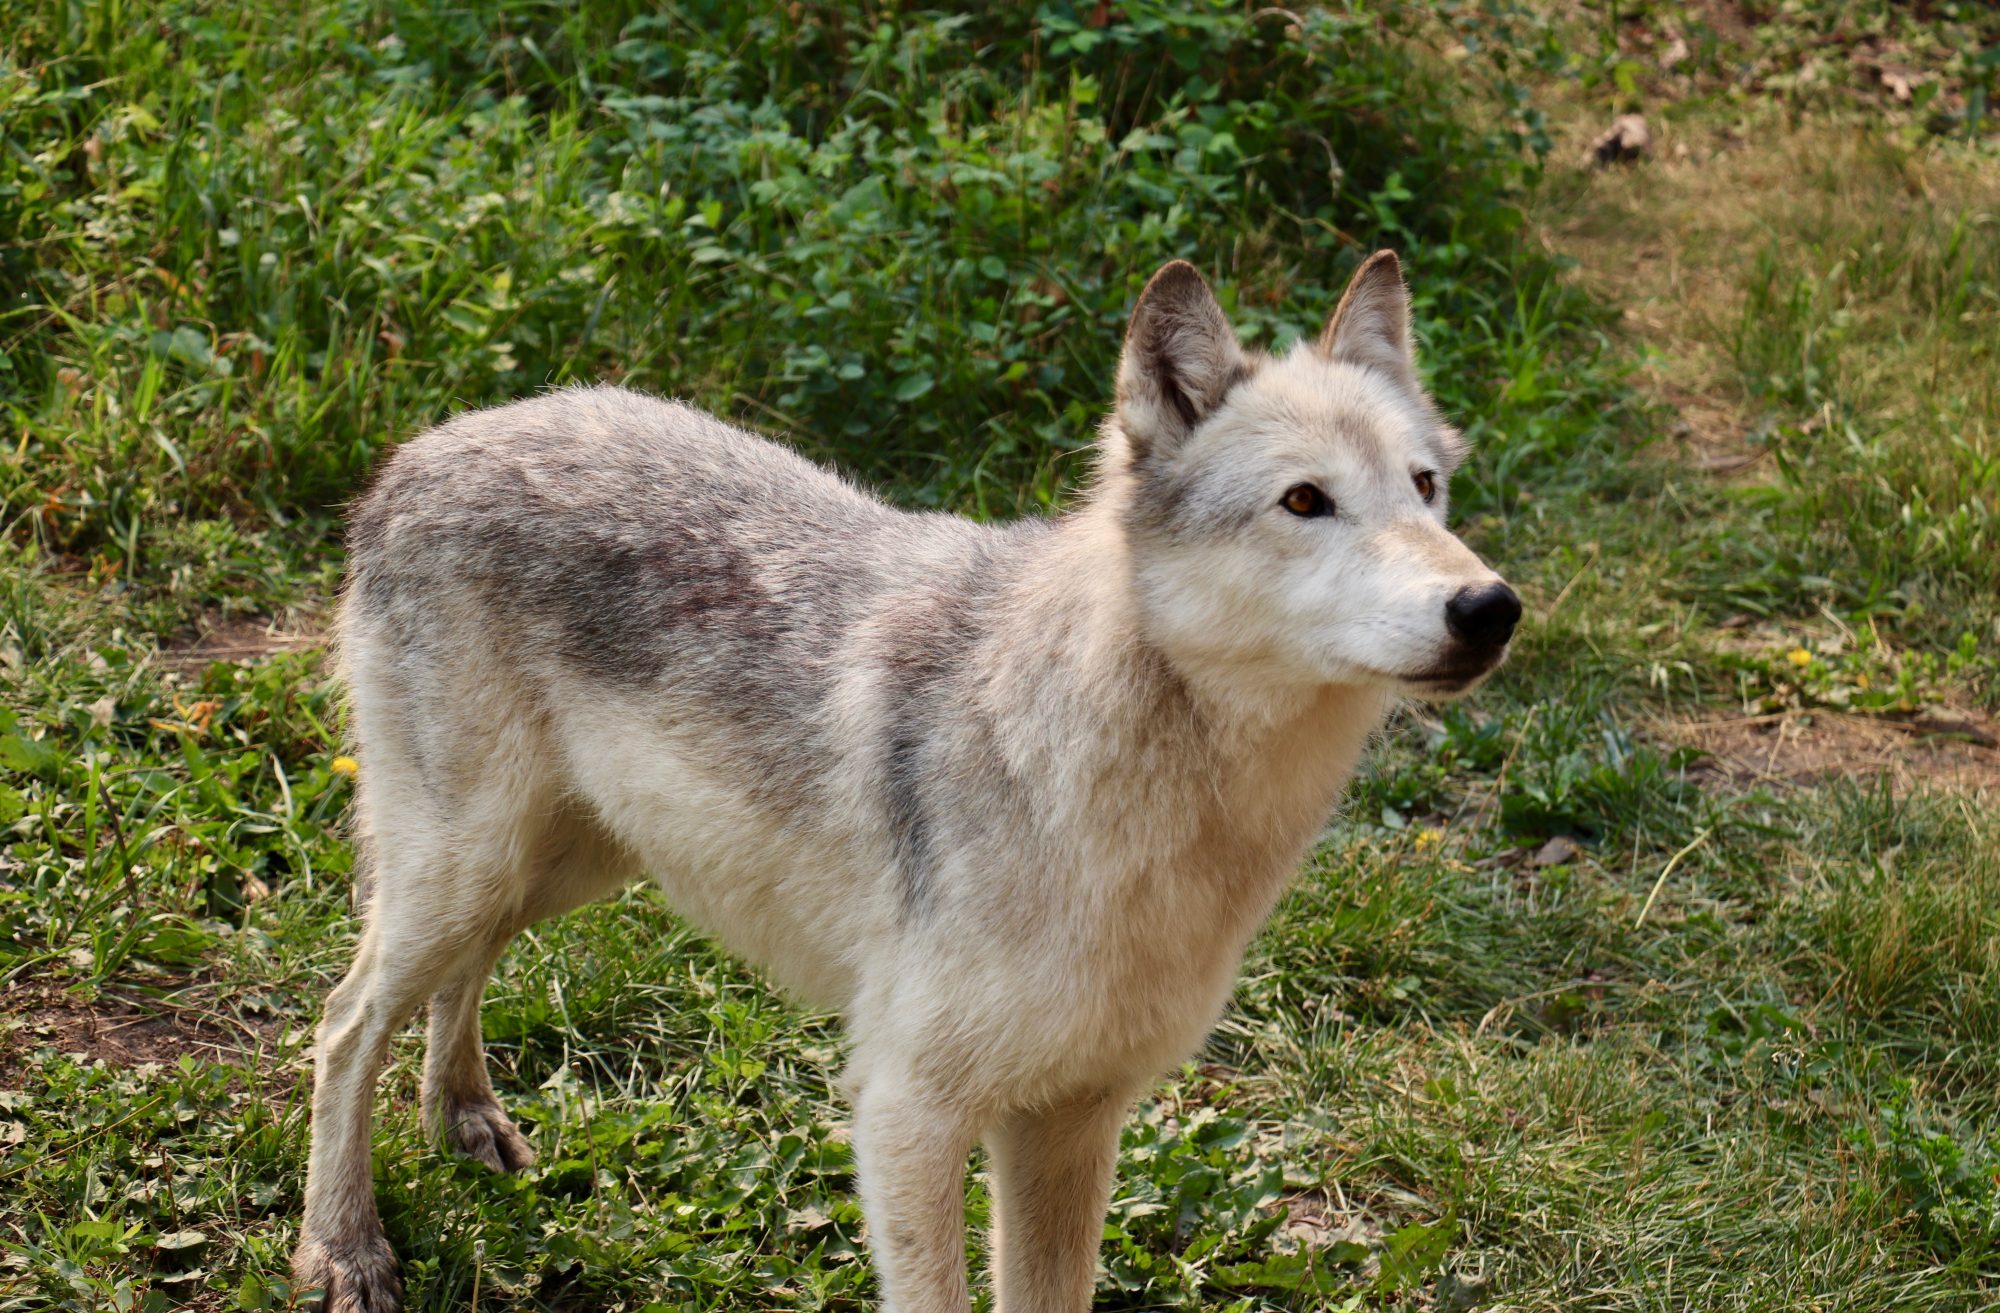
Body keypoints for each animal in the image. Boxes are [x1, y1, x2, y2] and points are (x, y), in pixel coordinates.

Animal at [292, 249, 1512, 1313]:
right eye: (1305, 501)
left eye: (1425, 488)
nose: (1489, 606)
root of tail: (423, 444)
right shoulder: (907, 1112)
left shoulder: (1070, 1120)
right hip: (476, 866)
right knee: (345, 1020)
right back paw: (343, 1246)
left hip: (558, 868)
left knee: (460, 973)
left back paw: (463, 1118)